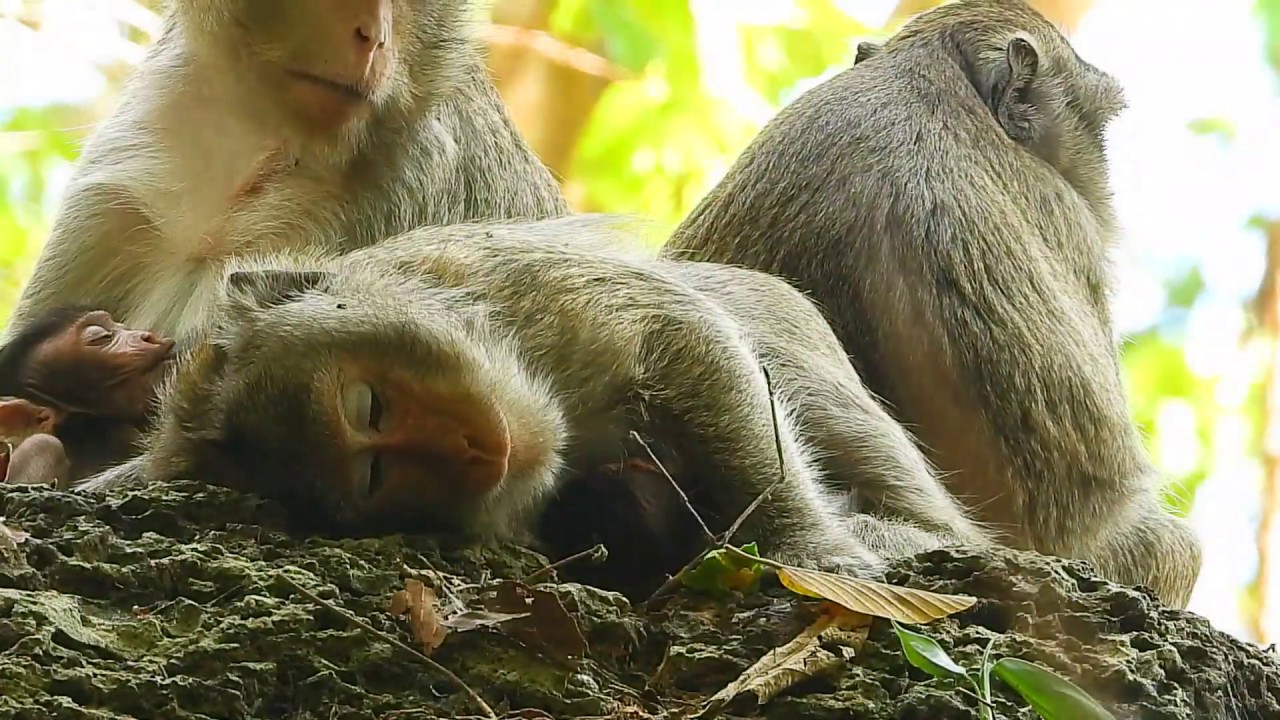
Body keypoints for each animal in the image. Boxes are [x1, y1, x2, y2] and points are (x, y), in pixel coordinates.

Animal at [76, 215, 995, 593]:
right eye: (376, 478)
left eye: (368, 404)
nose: (469, 448)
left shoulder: (522, 286)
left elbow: (690, 344)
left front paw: (806, 545)